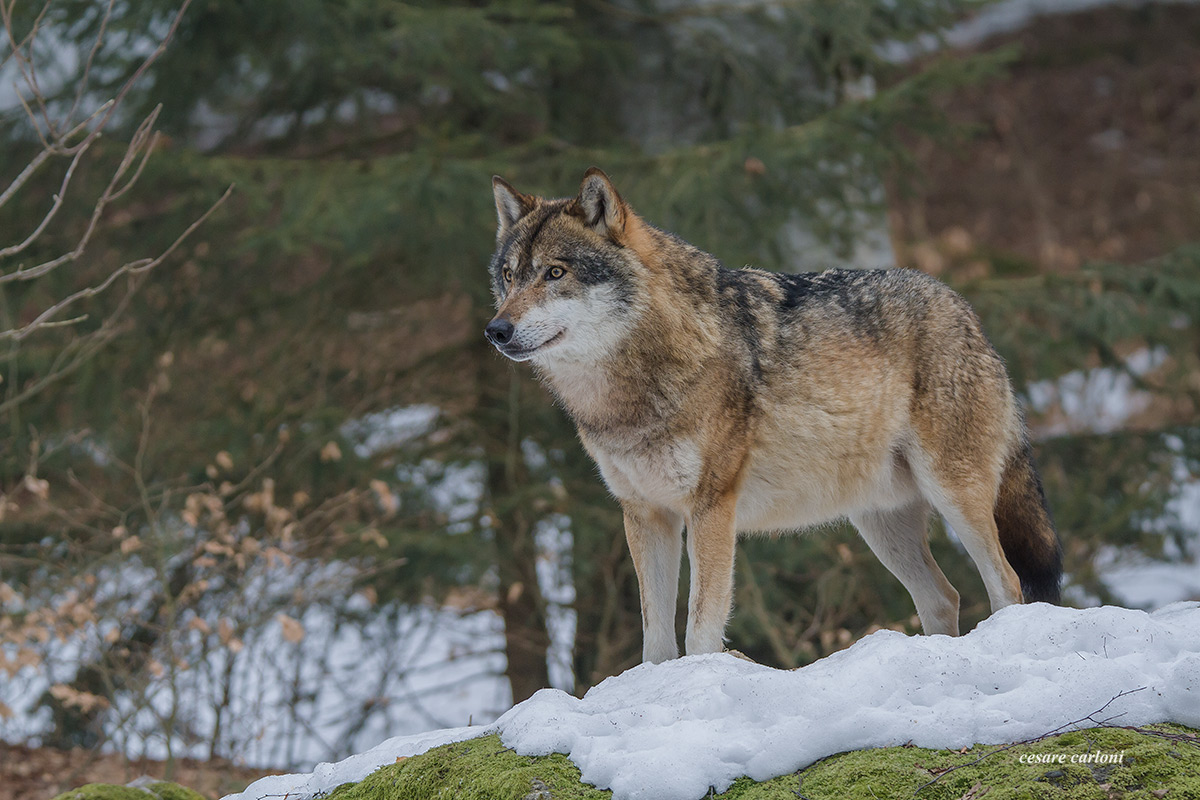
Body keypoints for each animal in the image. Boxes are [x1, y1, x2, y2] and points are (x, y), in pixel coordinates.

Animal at [484, 167, 1063, 664]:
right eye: (510, 277)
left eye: (555, 273)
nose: (495, 331)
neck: (628, 392)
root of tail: (964, 309)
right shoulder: (646, 514)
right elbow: (656, 638)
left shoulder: (711, 508)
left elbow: (700, 628)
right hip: (880, 524)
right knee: (944, 597)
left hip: (953, 494)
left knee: (1008, 583)